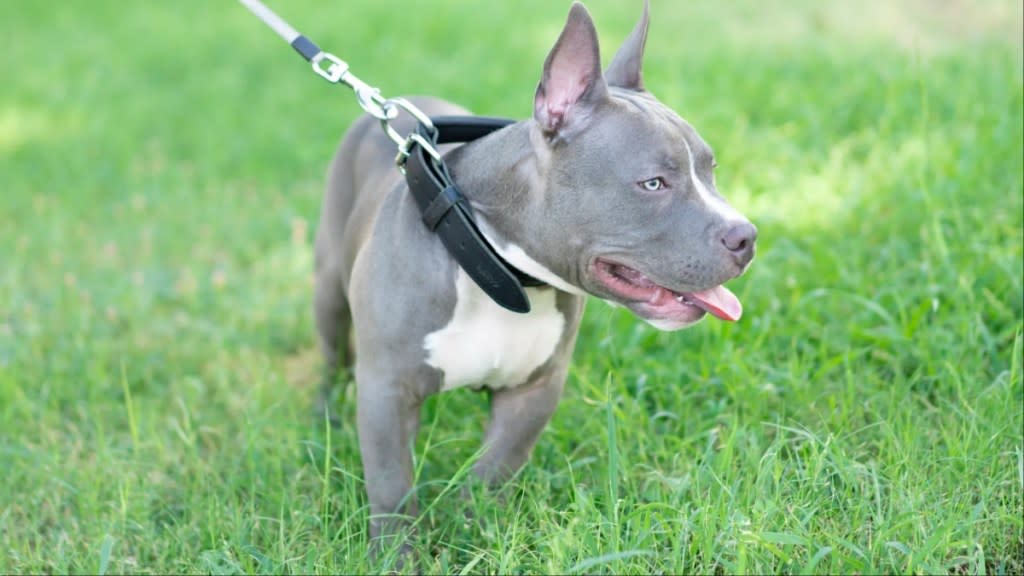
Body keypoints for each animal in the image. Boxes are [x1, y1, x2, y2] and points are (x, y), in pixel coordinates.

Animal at [315, 0, 757, 553]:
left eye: (710, 169)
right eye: (654, 183)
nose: (747, 236)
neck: (498, 272)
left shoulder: (534, 392)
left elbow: (494, 470)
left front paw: (474, 533)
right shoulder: (386, 392)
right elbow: (393, 488)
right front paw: (398, 556)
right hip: (328, 284)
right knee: (333, 349)